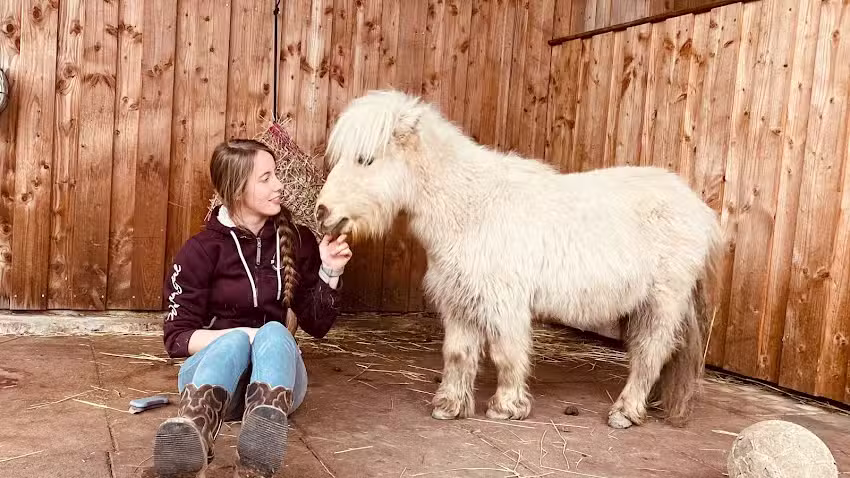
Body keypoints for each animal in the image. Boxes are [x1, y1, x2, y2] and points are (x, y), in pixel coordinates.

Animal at [315, 89, 722, 429]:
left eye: (365, 159)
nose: (323, 213)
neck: (472, 207)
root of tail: (699, 211)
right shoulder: (459, 299)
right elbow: (458, 354)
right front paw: (450, 406)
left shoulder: (504, 302)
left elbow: (506, 354)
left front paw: (506, 407)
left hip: (662, 302)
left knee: (650, 353)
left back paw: (625, 412)